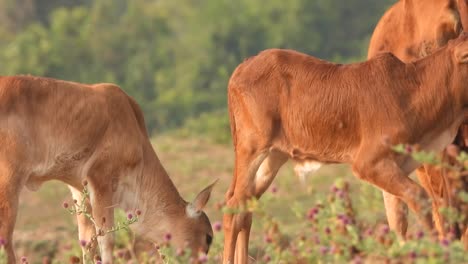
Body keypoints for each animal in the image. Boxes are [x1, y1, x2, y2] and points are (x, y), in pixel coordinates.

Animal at [221, 33, 468, 264]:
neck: (412, 90)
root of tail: (242, 67)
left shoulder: (396, 167)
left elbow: (397, 222)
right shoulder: (368, 164)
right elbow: (419, 197)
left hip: (273, 157)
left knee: (245, 206)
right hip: (252, 148)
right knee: (233, 206)